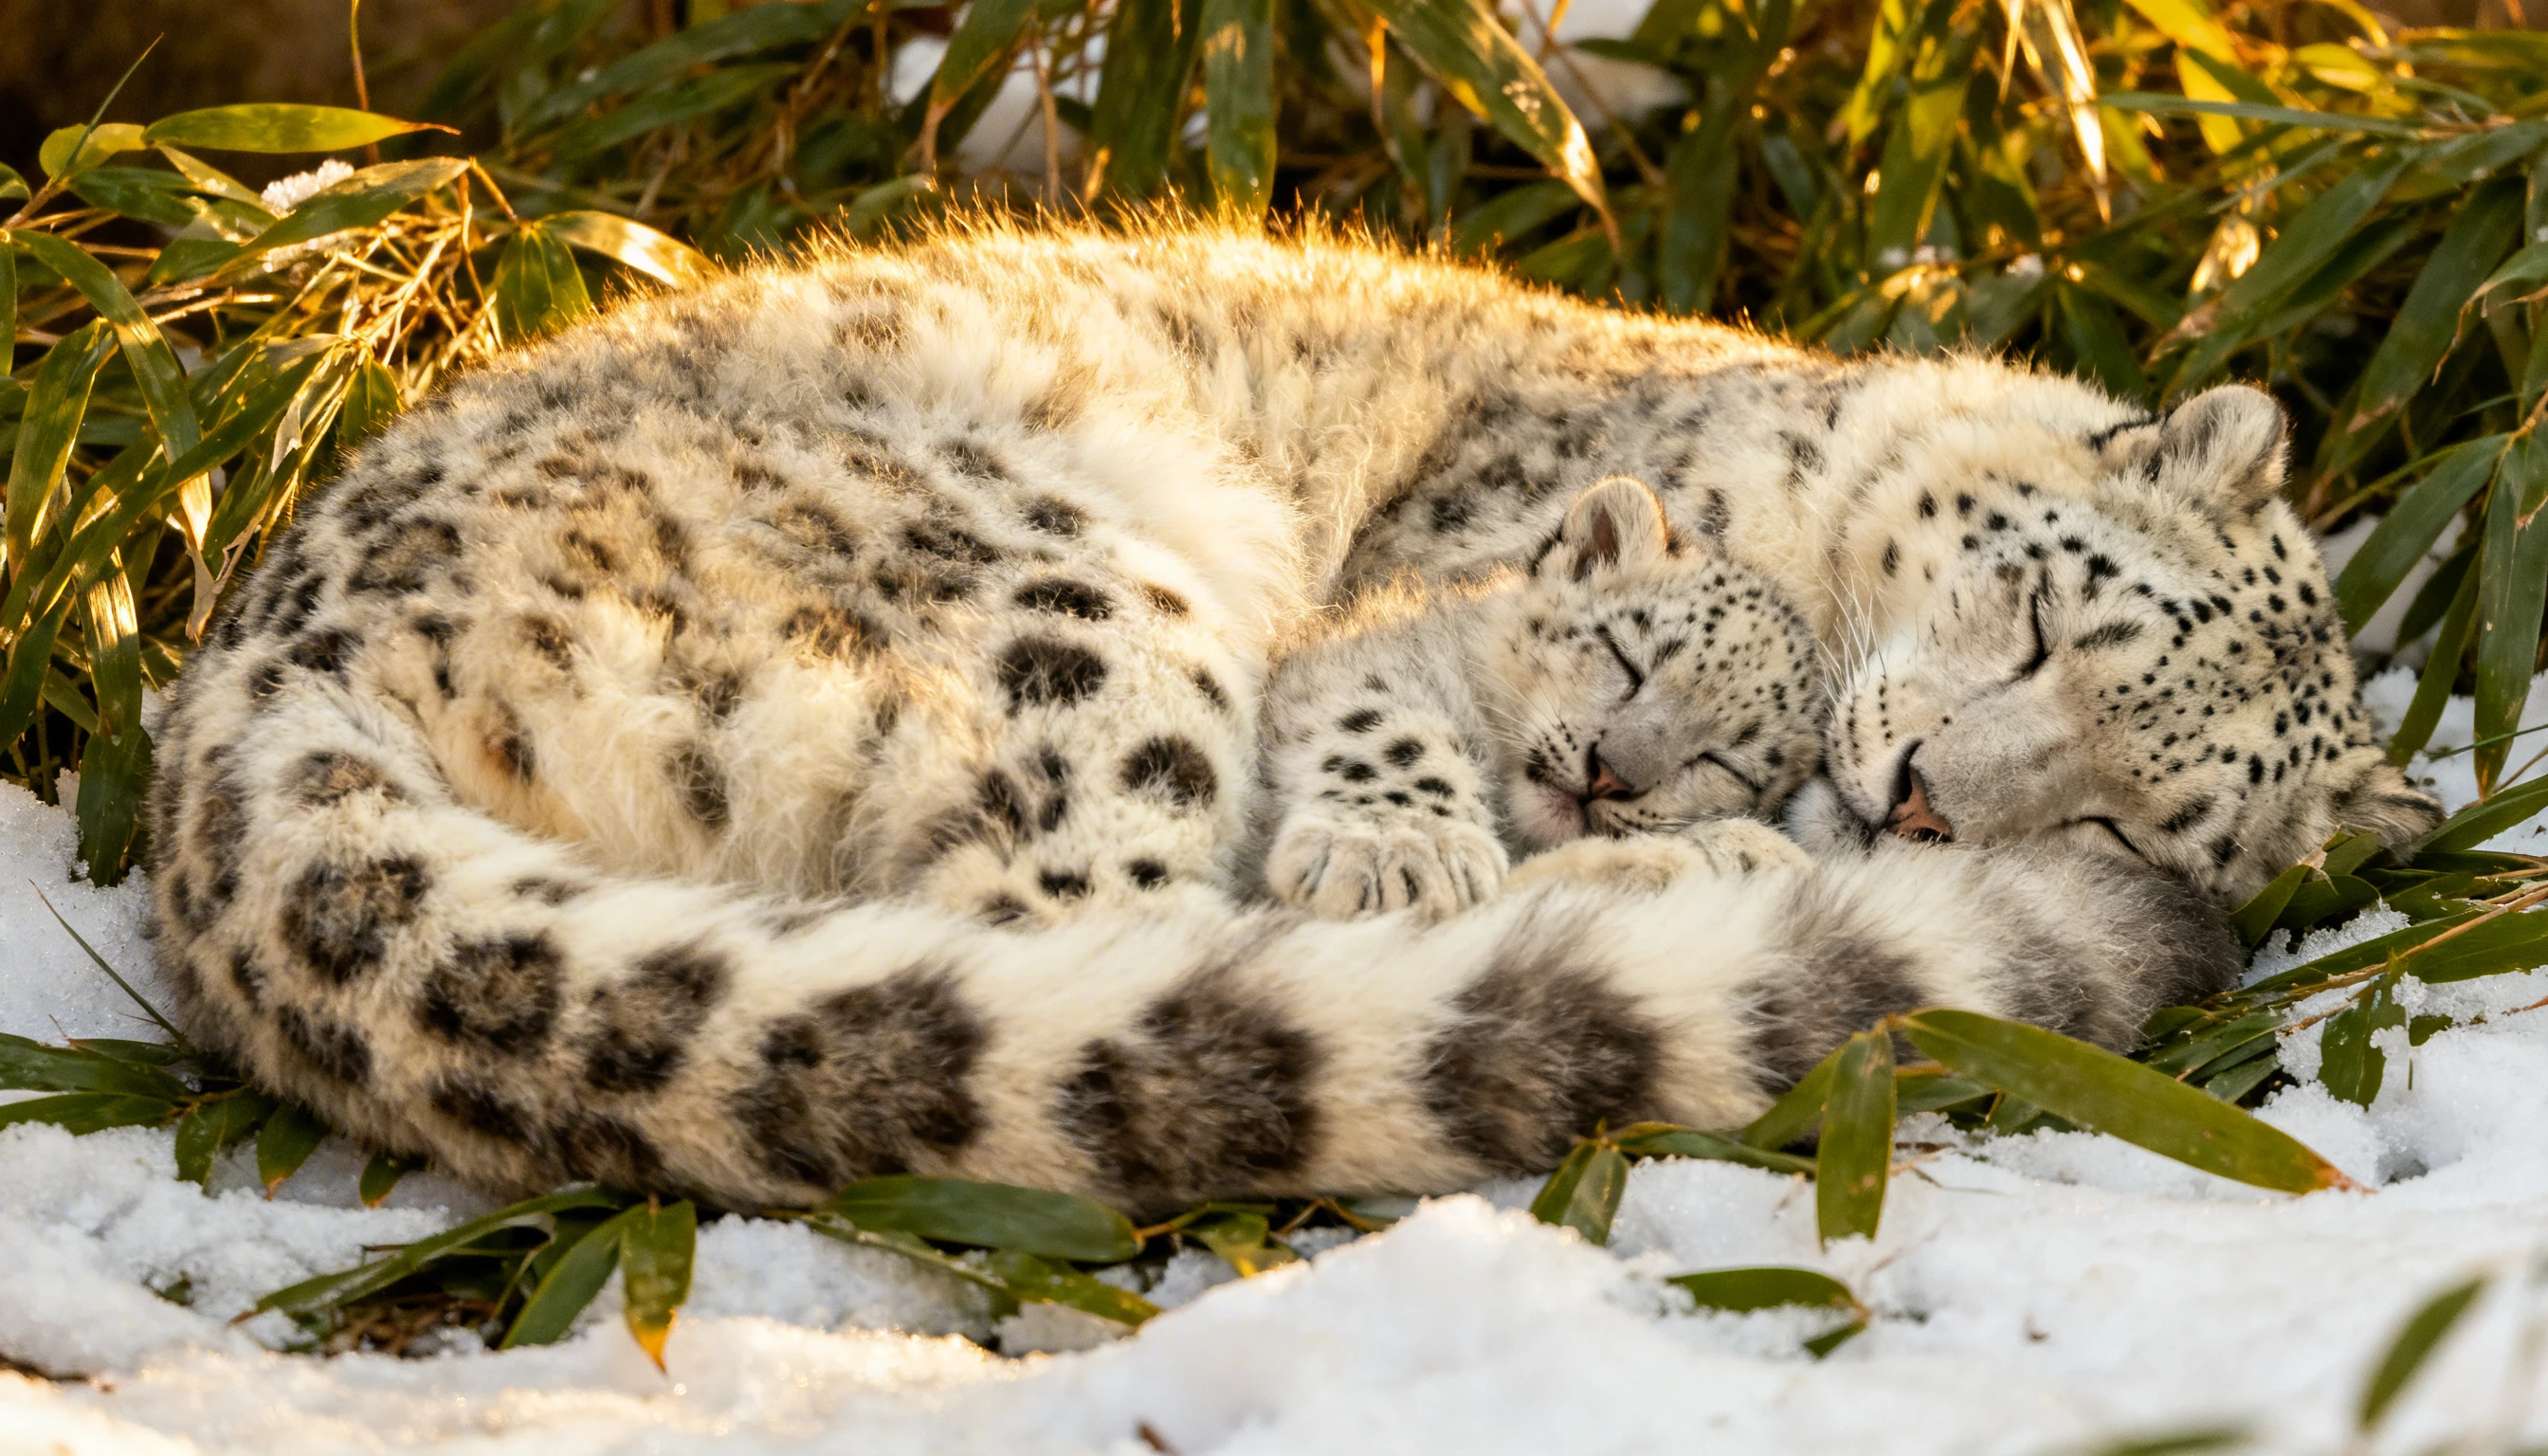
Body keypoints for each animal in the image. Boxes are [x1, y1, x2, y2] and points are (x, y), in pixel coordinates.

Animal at [144, 219, 2417, 1213]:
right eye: (2039, 615)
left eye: (2133, 819)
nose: (1932, 798)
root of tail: (252, 663)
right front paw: (1488, 824)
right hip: (1075, 604)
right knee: (1117, 930)